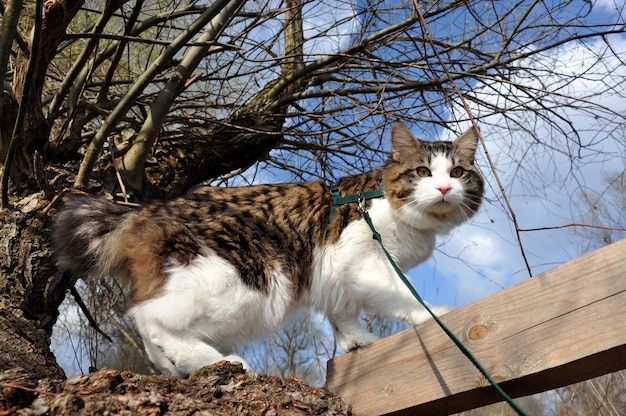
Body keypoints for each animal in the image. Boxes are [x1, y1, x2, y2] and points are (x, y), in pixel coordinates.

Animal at [52, 121, 482, 376]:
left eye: (458, 172)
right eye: (423, 172)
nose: (445, 188)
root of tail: (146, 211)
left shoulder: (333, 277)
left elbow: (343, 314)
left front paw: (357, 341)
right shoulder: (365, 263)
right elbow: (402, 297)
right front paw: (435, 314)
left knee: (145, 320)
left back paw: (174, 366)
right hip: (246, 283)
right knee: (149, 317)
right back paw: (219, 361)